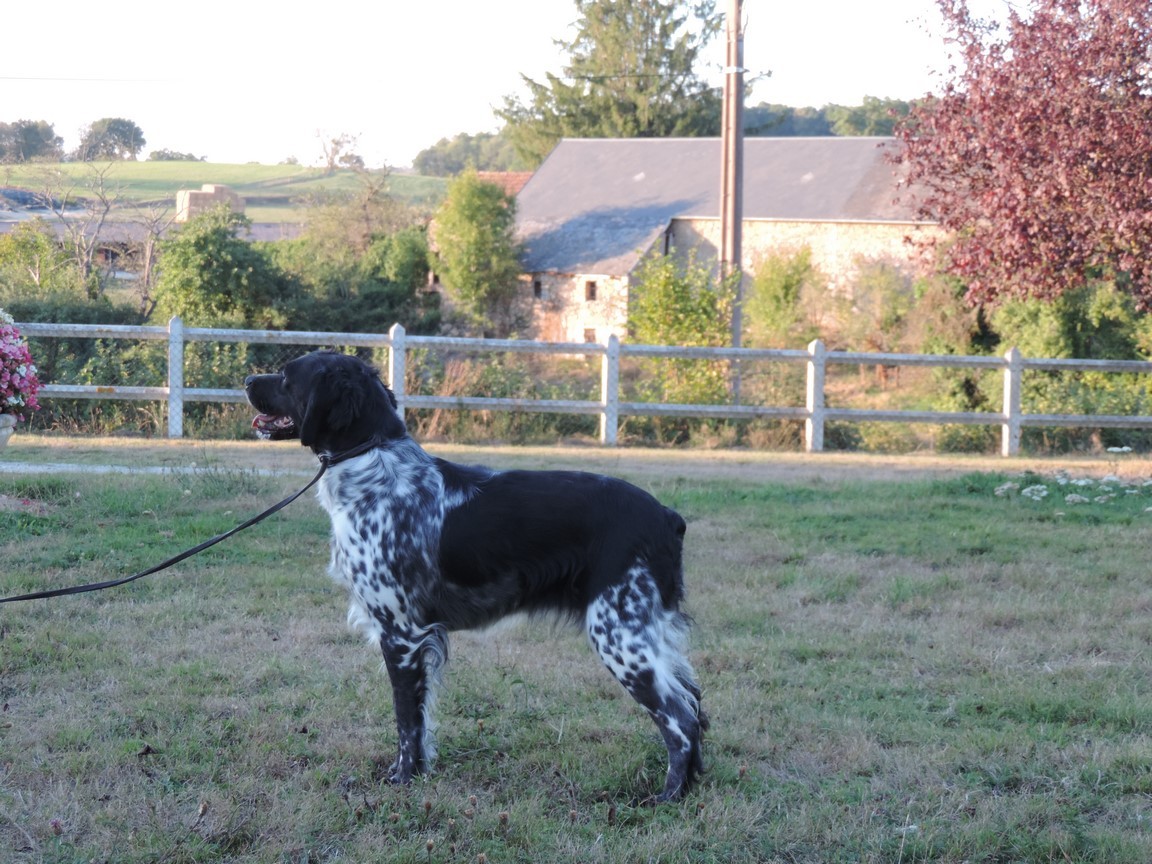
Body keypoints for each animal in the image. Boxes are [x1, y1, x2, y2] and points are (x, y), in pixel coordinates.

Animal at [247, 352, 705, 806]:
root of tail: (666, 516)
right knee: (695, 703)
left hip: (619, 636)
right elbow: (420, 723)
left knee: (681, 720)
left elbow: (407, 722)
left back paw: (668, 797)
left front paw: (402, 781)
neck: (374, 465)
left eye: (287, 375)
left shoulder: (401, 634)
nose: (248, 380)